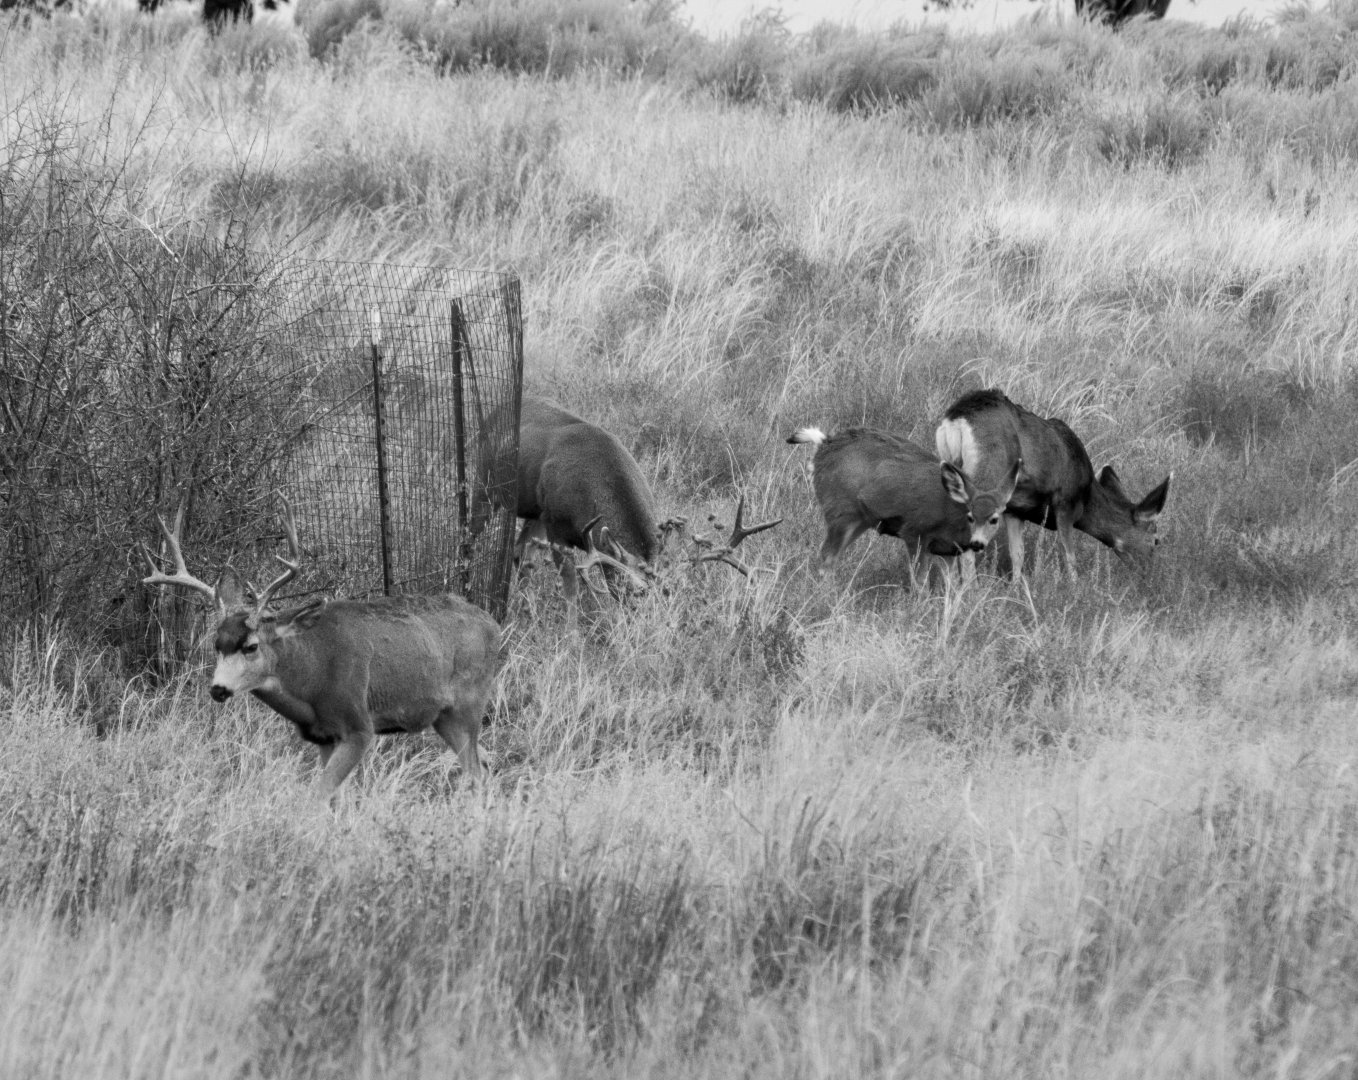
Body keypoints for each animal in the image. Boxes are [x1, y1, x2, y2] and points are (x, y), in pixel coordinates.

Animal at [142, 495, 501, 800]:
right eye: (217, 644)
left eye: (251, 646)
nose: (218, 689)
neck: (312, 681)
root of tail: (493, 624)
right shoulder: (323, 736)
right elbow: (337, 798)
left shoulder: (358, 725)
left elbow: (318, 795)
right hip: (444, 716)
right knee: (481, 765)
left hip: (468, 704)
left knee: (478, 772)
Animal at [787, 425, 1020, 588]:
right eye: (971, 516)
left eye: (994, 519)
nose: (978, 543)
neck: (951, 513)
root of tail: (823, 445)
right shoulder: (914, 531)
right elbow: (920, 580)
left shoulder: (948, 550)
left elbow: (952, 584)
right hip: (840, 510)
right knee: (827, 556)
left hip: (860, 519)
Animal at [935, 388, 1172, 581]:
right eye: (1156, 540)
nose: (1151, 577)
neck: (1086, 497)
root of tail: (955, 420)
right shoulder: (1065, 503)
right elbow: (1069, 555)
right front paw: (1076, 589)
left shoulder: (1015, 509)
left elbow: (1017, 554)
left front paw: (1016, 588)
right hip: (988, 475)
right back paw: (970, 588)